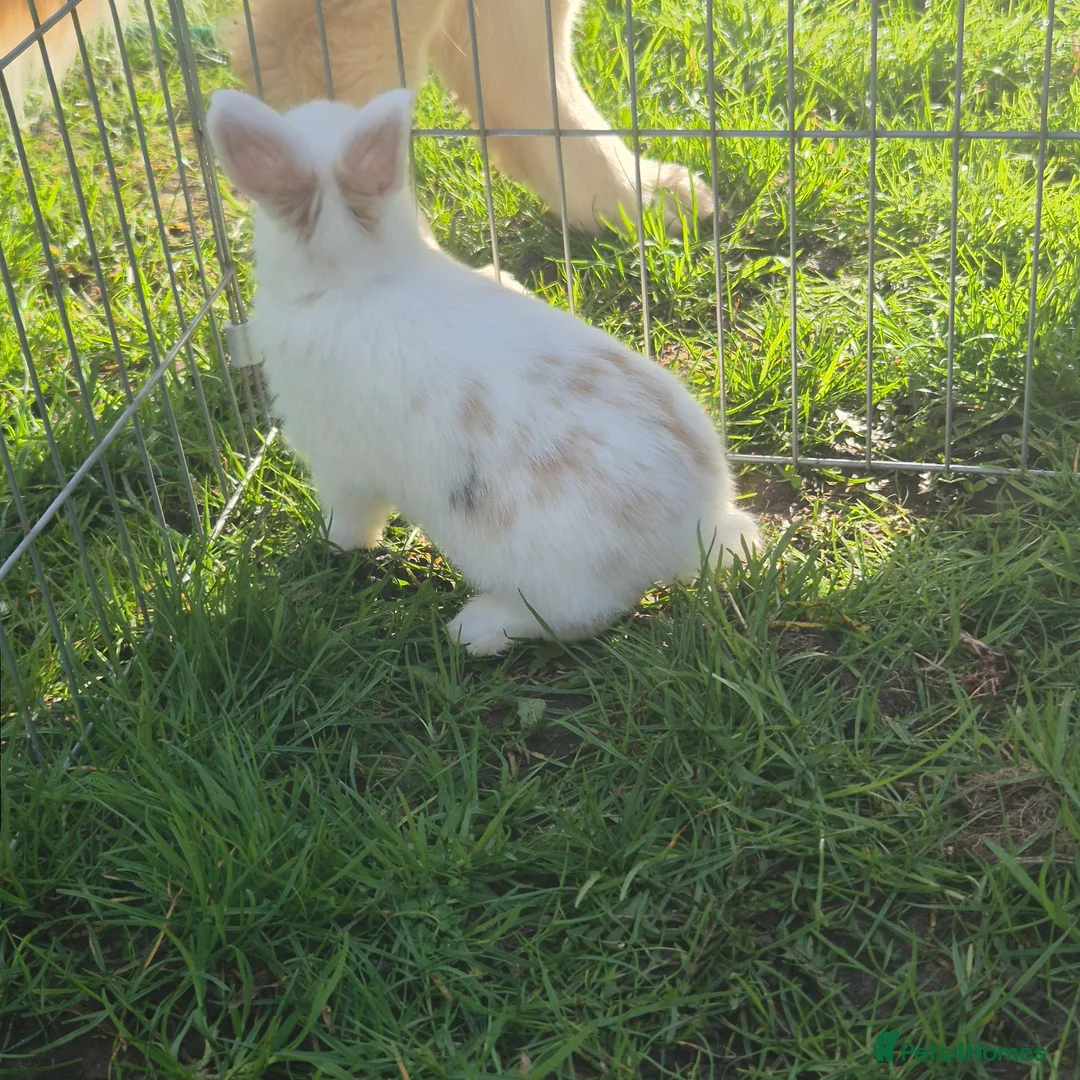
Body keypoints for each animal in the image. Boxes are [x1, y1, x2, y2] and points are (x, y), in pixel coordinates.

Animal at [206, 87, 757, 656]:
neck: (356, 275)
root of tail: (693, 525)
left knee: (577, 617)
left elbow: (351, 518)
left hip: (543, 575)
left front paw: (330, 543)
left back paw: (477, 628)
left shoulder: (339, 466)